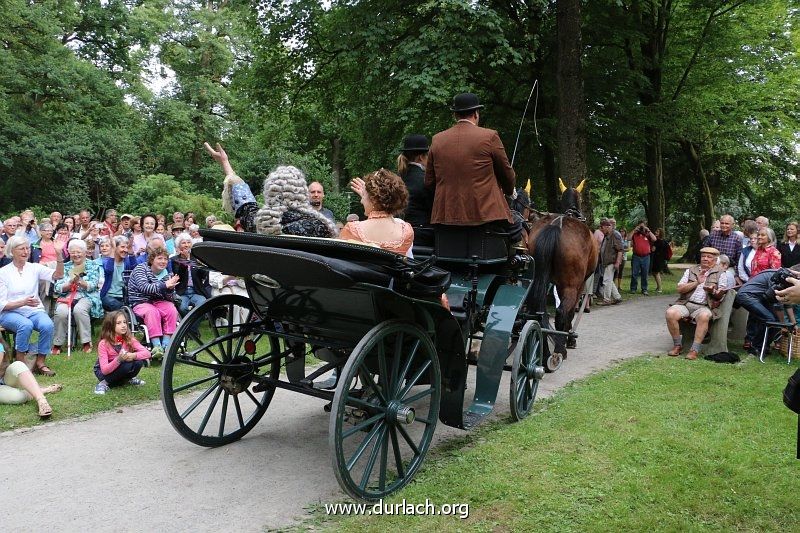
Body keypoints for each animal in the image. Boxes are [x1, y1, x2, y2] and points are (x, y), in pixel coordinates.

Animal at [528, 178, 596, 366]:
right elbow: (571, 312)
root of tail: (556, 226)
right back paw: (560, 350)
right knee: (561, 313)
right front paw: (570, 338)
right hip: (570, 285)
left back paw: (543, 350)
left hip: (539, 280)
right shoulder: (578, 285)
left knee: (538, 313)